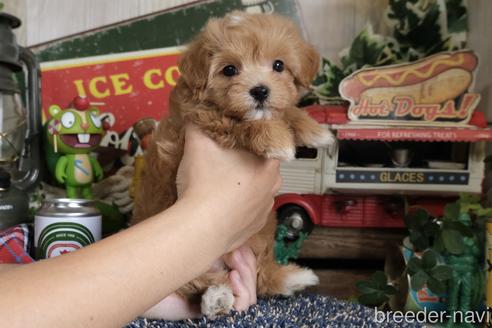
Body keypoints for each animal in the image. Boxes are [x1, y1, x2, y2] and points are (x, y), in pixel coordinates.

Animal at [133, 12, 336, 318]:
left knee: (260, 271)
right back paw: (217, 296)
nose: (260, 91)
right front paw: (276, 139)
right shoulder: (205, 119)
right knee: (198, 282)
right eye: (229, 70)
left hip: (260, 230)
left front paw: (315, 131)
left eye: (278, 65)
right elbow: (243, 126)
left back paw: (292, 277)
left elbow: (286, 109)